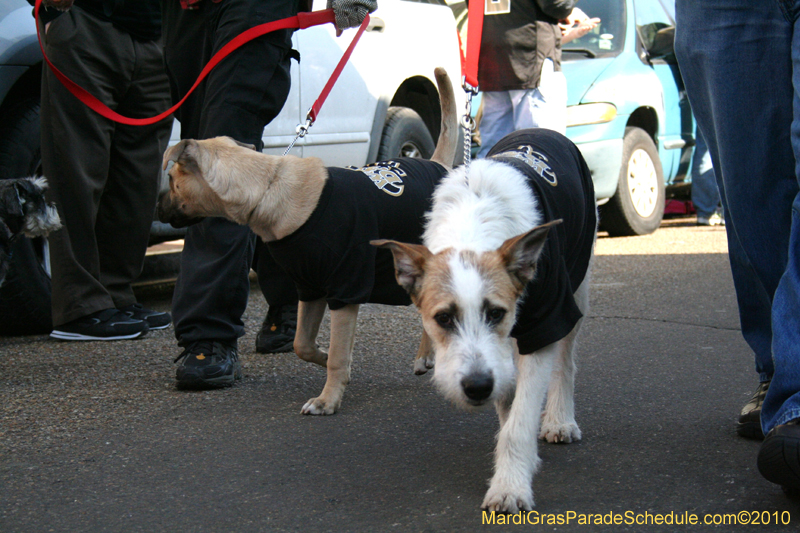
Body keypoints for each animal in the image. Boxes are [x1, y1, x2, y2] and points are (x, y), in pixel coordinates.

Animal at [158, 67, 456, 416]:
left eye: (171, 179)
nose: (156, 206)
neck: (268, 186)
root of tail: (439, 165)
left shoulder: (344, 288)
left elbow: (339, 355)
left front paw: (328, 399)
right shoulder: (310, 286)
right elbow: (303, 344)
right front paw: (326, 358)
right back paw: (426, 357)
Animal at [376, 128, 592, 512]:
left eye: (496, 313)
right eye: (443, 318)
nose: (477, 387)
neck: (471, 228)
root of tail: (541, 130)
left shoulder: (545, 320)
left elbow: (519, 421)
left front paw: (510, 486)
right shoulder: (498, 359)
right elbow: (508, 408)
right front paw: (519, 467)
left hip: (577, 286)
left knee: (565, 361)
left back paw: (560, 419)